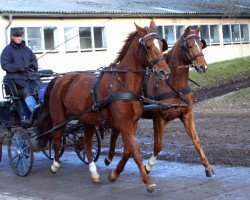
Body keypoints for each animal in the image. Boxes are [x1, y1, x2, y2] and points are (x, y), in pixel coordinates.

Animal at [36, 19, 171, 192]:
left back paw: (94, 173)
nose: (164, 72)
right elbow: (135, 150)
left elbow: (128, 151)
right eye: (147, 46)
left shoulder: (132, 124)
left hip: (87, 120)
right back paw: (55, 165)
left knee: (86, 144)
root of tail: (60, 78)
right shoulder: (123, 124)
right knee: (57, 138)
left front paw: (114, 173)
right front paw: (148, 181)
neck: (123, 84)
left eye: (161, 45)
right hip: (59, 117)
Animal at [105, 26, 215, 177]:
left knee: (116, 132)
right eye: (189, 45)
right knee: (116, 132)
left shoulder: (187, 114)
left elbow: (196, 140)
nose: (203, 66)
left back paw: (110, 157)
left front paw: (207, 167)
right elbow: (158, 145)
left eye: (201, 44)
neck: (173, 85)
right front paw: (148, 166)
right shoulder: (159, 118)